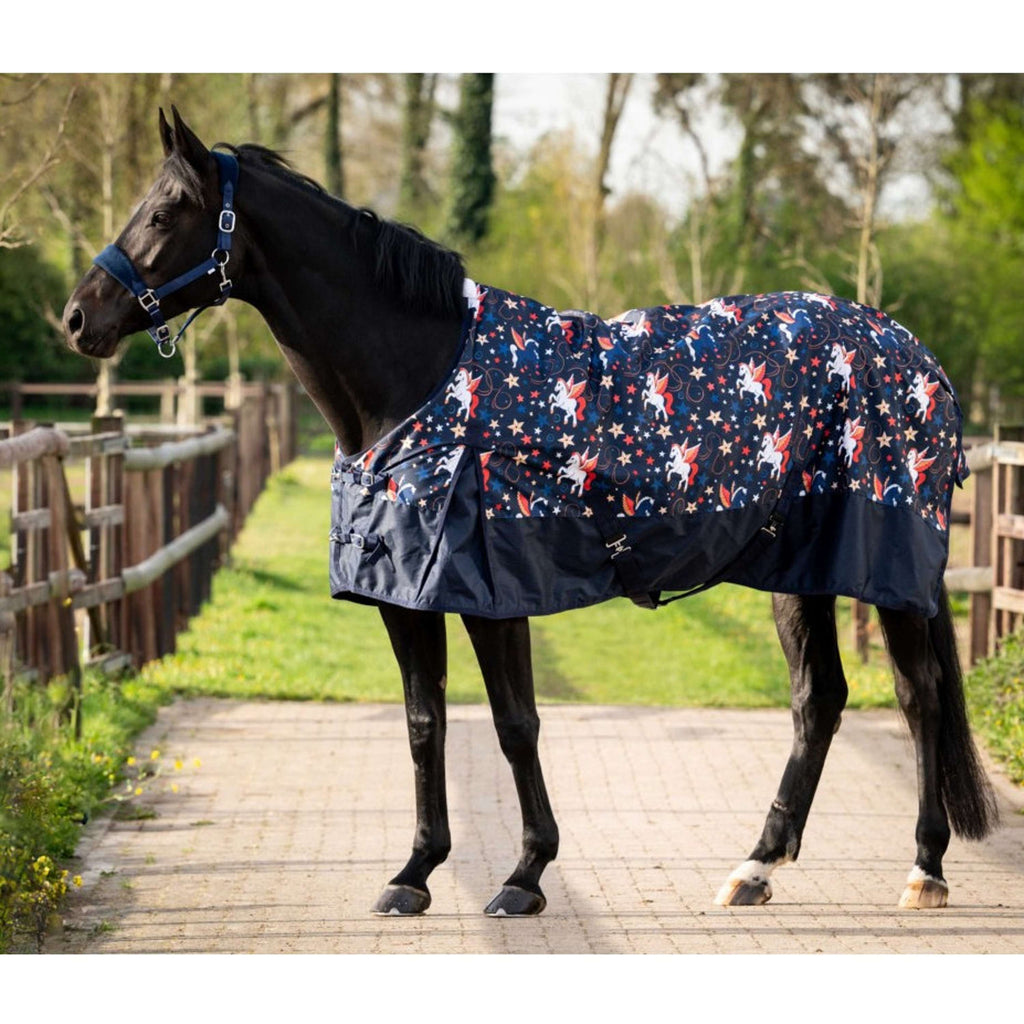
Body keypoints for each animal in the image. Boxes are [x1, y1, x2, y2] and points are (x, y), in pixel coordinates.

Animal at [63, 108, 997, 917]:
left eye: (167, 210)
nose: (78, 318)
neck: (421, 380)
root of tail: (915, 357)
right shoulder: (404, 596)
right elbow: (425, 725)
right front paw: (414, 872)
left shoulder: (492, 588)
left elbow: (514, 725)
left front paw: (524, 876)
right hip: (799, 573)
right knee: (820, 700)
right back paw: (755, 869)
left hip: (885, 571)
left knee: (917, 696)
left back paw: (924, 870)